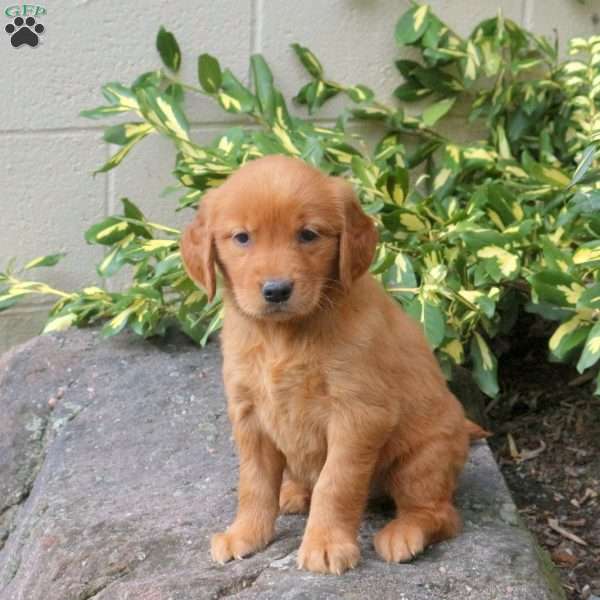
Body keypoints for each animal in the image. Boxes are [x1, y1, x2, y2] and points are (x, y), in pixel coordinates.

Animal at [183, 152, 474, 576]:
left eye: (308, 235)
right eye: (242, 238)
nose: (276, 290)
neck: (284, 336)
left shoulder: (359, 414)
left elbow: (335, 483)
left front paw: (324, 544)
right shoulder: (248, 413)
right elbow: (254, 483)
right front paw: (246, 534)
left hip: (424, 459)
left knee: (441, 513)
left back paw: (404, 532)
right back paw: (292, 492)